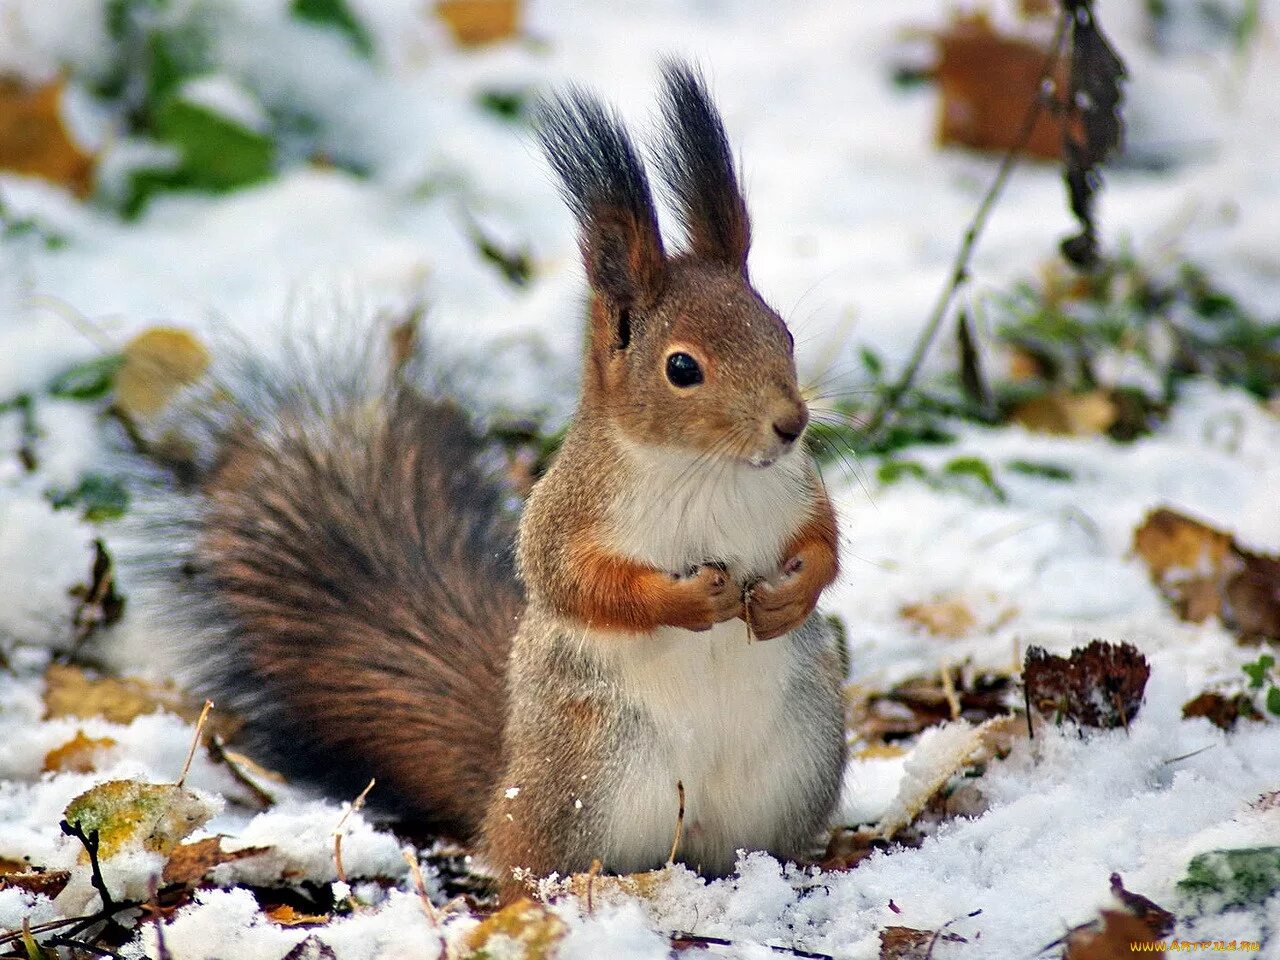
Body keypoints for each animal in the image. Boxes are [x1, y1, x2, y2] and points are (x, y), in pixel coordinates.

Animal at [135, 64, 844, 906]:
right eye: (682, 368)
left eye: (785, 333)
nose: (790, 425)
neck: (712, 473)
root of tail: (500, 791)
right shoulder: (569, 514)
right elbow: (579, 584)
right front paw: (689, 599)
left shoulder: (798, 490)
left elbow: (824, 544)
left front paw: (789, 595)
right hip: (585, 781)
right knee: (529, 863)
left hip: (797, 764)